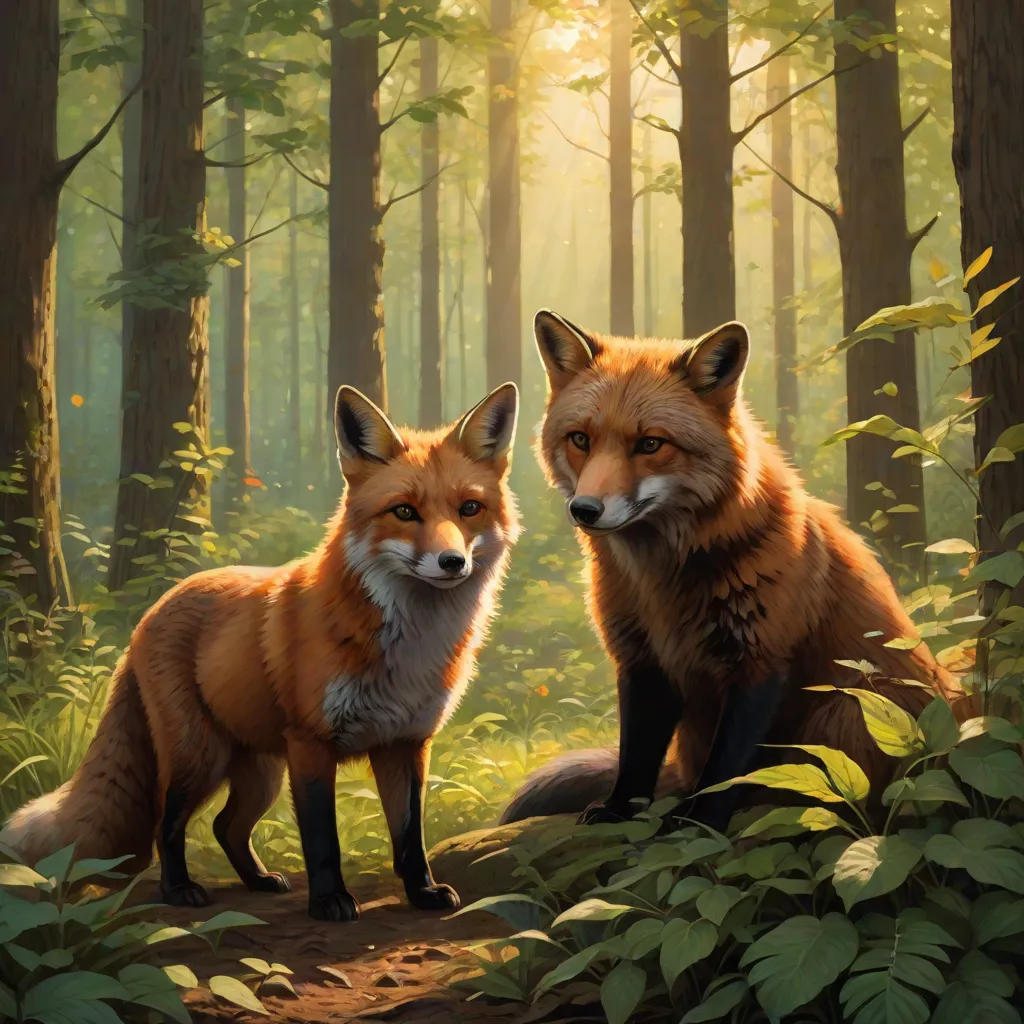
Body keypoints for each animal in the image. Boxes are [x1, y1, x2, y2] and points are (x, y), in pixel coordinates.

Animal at [3, 383, 520, 921]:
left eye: (468, 509)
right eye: (403, 511)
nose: (452, 561)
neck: (409, 649)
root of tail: (155, 607)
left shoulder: (406, 743)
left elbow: (409, 836)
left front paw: (422, 893)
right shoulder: (311, 743)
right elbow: (322, 838)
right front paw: (329, 901)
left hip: (260, 772)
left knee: (225, 826)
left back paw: (257, 881)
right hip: (201, 757)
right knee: (168, 823)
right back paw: (179, 889)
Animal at [501, 311, 966, 830]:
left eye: (650, 444)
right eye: (580, 439)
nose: (584, 509)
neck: (662, 583)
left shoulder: (760, 662)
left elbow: (726, 770)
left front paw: (697, 823)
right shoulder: (642, 660)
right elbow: (635, 756)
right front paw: (620, 811)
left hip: (849, 706)